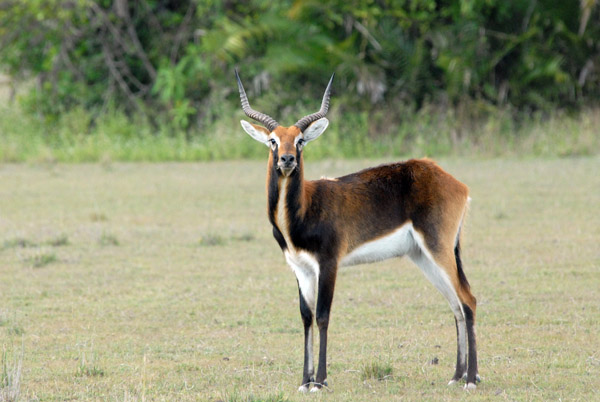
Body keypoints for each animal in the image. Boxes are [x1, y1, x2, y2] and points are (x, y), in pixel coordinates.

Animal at [234, 70, 478, 392]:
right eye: (273, 141)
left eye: (300, 141)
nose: (287, 160)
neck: (305, 209)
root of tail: (453, 181)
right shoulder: (300, 268)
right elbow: (305, 317)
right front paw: (304, 381)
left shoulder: (328, 264)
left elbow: (322, 316)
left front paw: (320, 381)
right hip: (423, 256)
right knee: (455, 305)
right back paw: (456, 375)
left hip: (439, 248)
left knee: (468, 300)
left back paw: (471, 379)